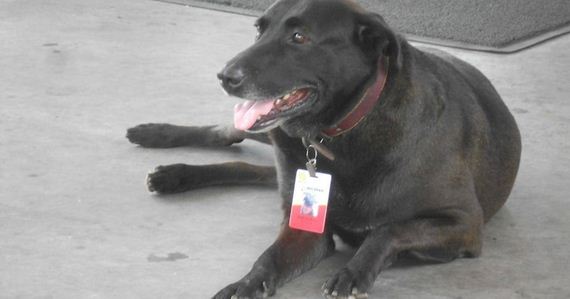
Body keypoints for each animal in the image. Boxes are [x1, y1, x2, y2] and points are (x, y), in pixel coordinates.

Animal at [127, 1, 520, 298]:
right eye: (259, 30)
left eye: (299, 37)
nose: (225, 76)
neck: (339, 134)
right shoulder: (303, 229)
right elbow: (267, 259)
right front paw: (245, 284)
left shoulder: (464, 223)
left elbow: (388, 230)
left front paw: (353, 272)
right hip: (273, 135)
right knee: (229, 134)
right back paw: (157, 144)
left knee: (250, 167)